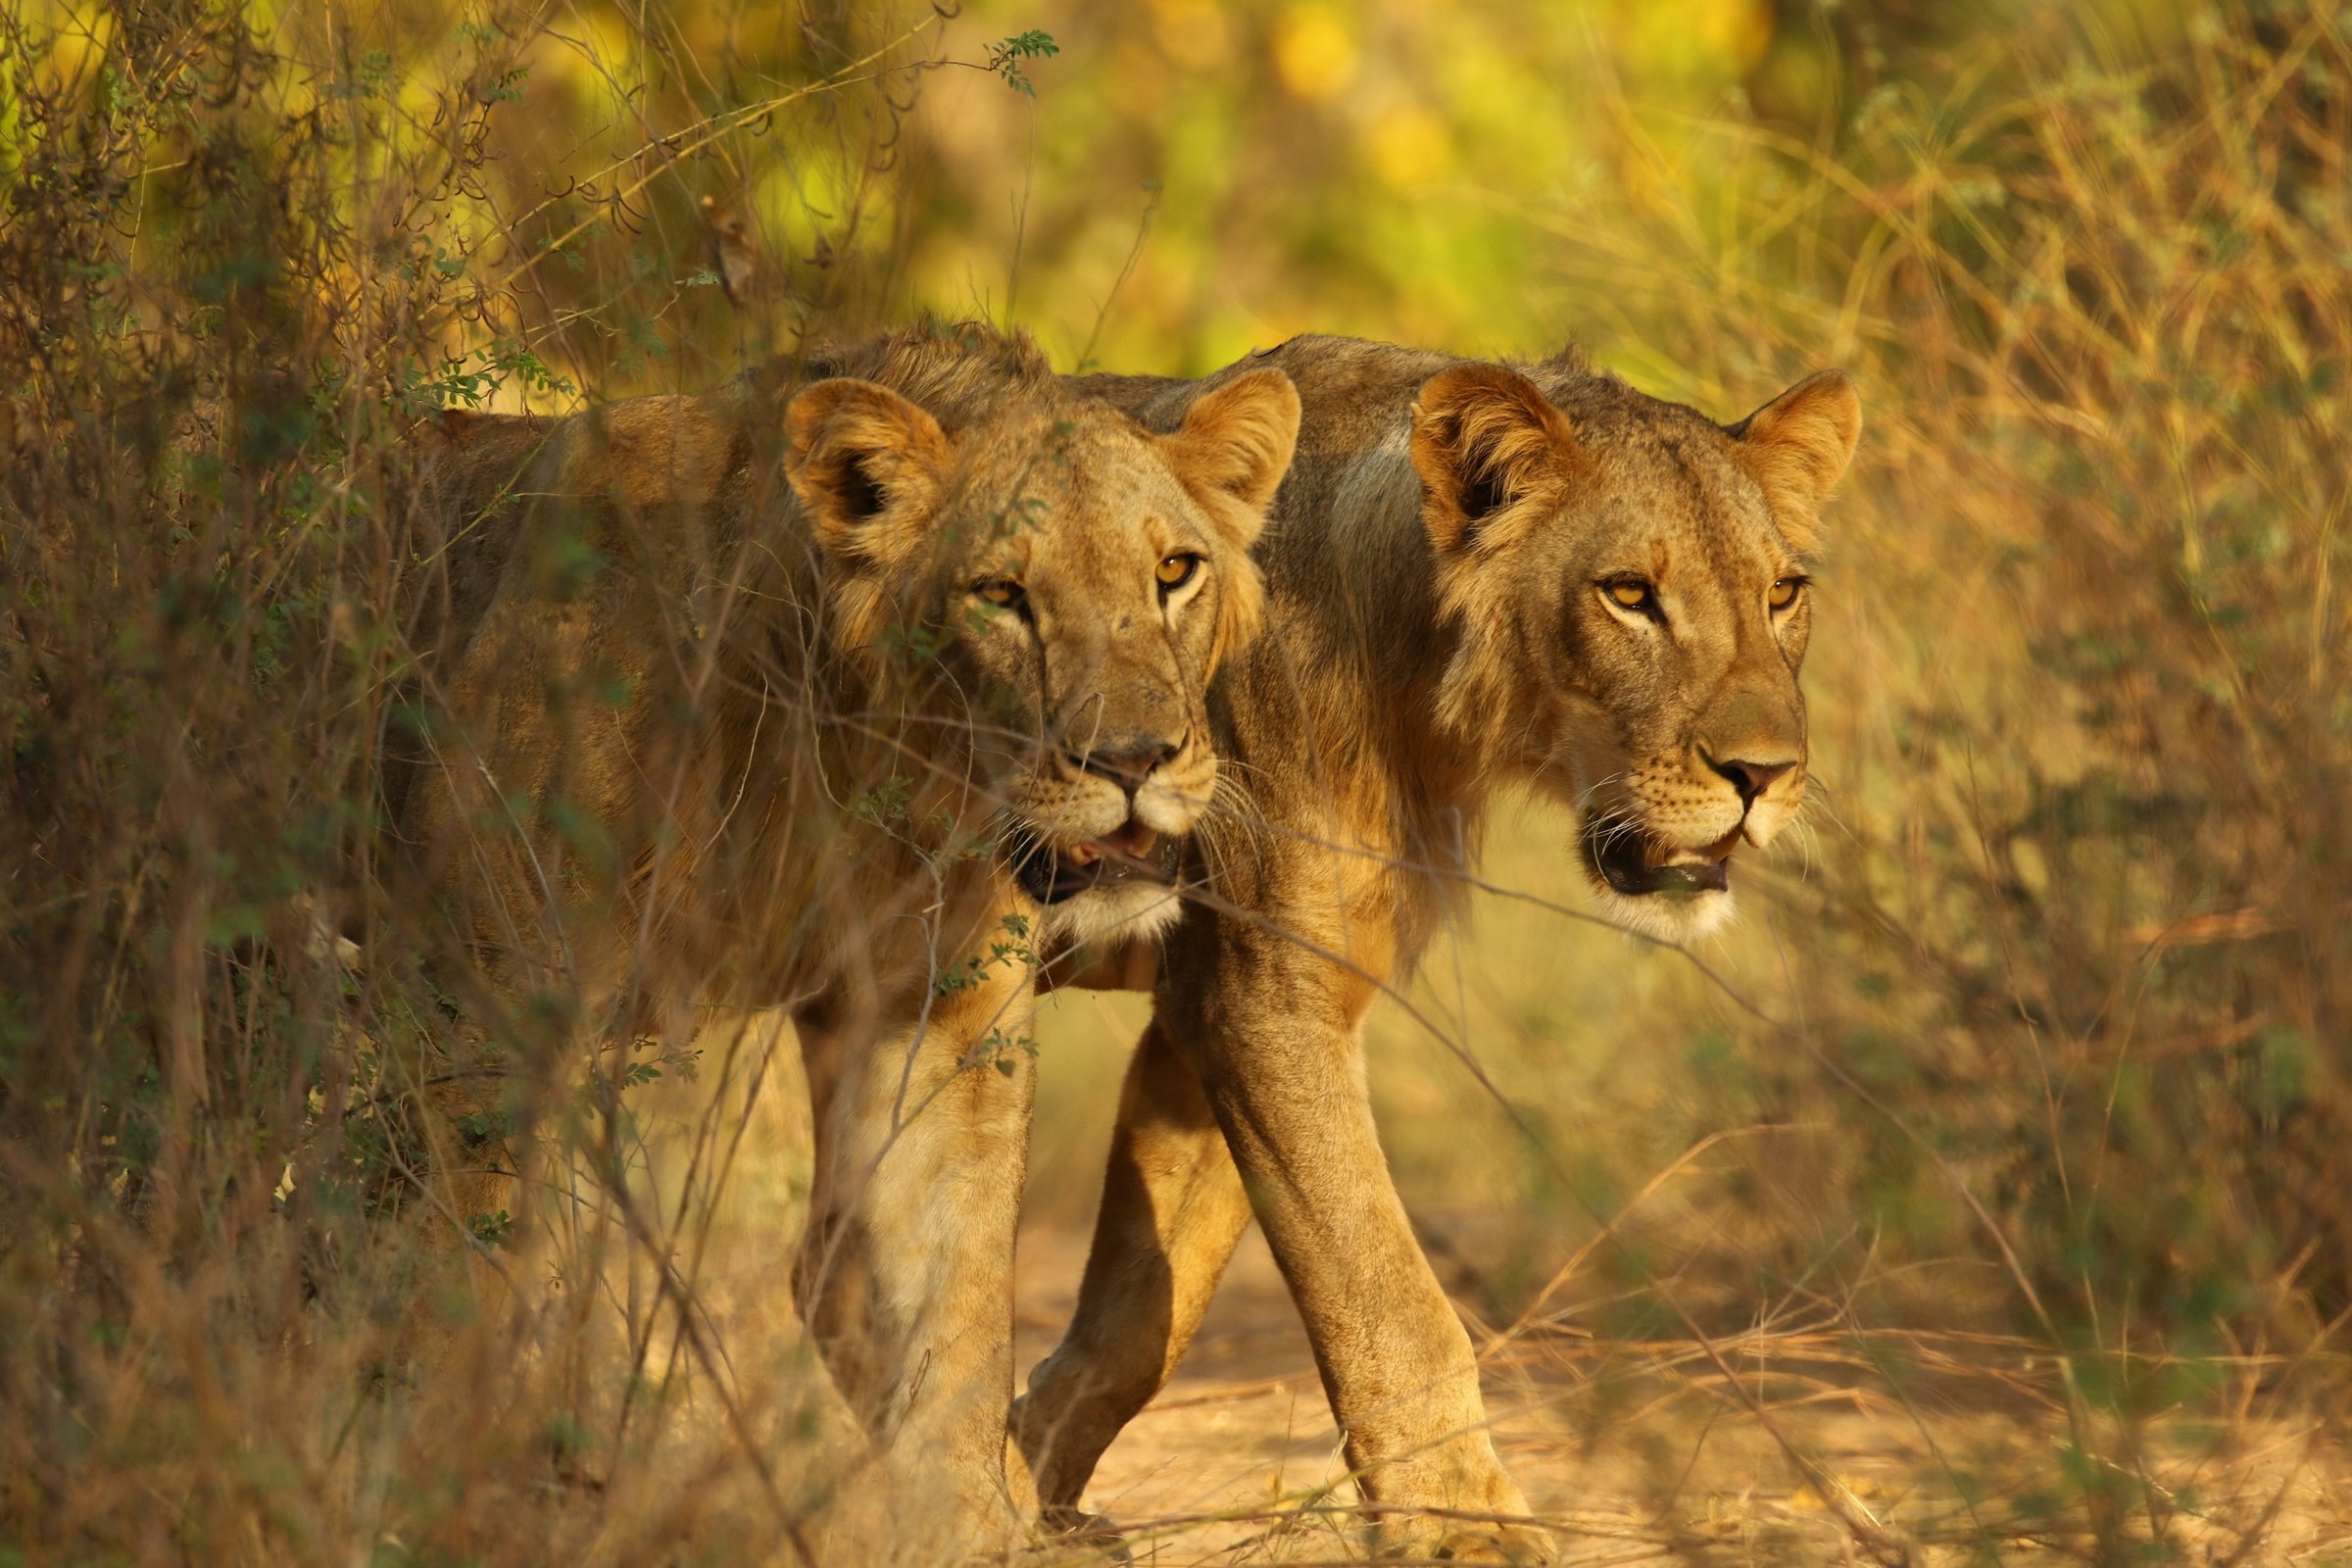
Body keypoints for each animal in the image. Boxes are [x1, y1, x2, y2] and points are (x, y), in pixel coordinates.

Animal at [393, 323, 1299, 1551]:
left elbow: (953, 1294)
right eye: (1001, 593)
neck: (856, 755)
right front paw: (430, 1495)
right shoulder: (487, 1013)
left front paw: (970, 1526)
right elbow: (456, 1282)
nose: (1134, 759)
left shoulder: (935, 1016)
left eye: (1174, 572)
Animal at [1016, 335, 1860, 1560]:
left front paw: (1013, 1484)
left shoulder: (1224, 1001)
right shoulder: (1265, 998)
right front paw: (1466, 1521)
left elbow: (1140, 1314)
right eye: (1629, 595)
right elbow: (1386, 1289)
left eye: (1781, 593)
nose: (1766, 776)